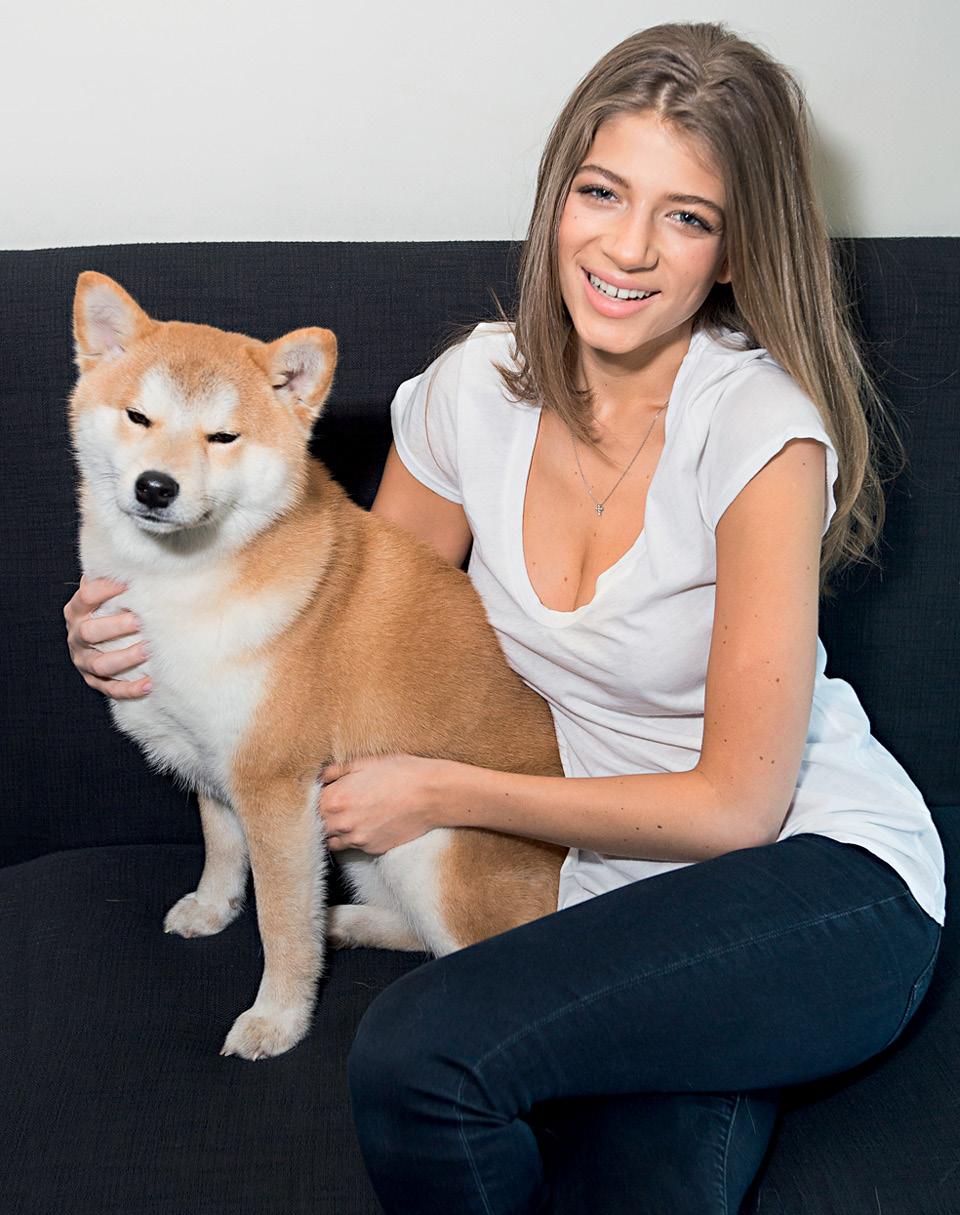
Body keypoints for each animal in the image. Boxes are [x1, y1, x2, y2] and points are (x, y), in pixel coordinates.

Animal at [67, 271, 565, 1061]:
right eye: (139, 416)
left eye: (223, 437)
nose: (154, 487)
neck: (184, 583)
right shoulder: (216, 761)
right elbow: (221, 846)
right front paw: (213, 907)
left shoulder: (276, 787)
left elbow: (280, 925)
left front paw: (277, 1018)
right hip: (361, 839)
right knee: (412, 935)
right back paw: (347, 924)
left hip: (431, 840)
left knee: (460, 954)